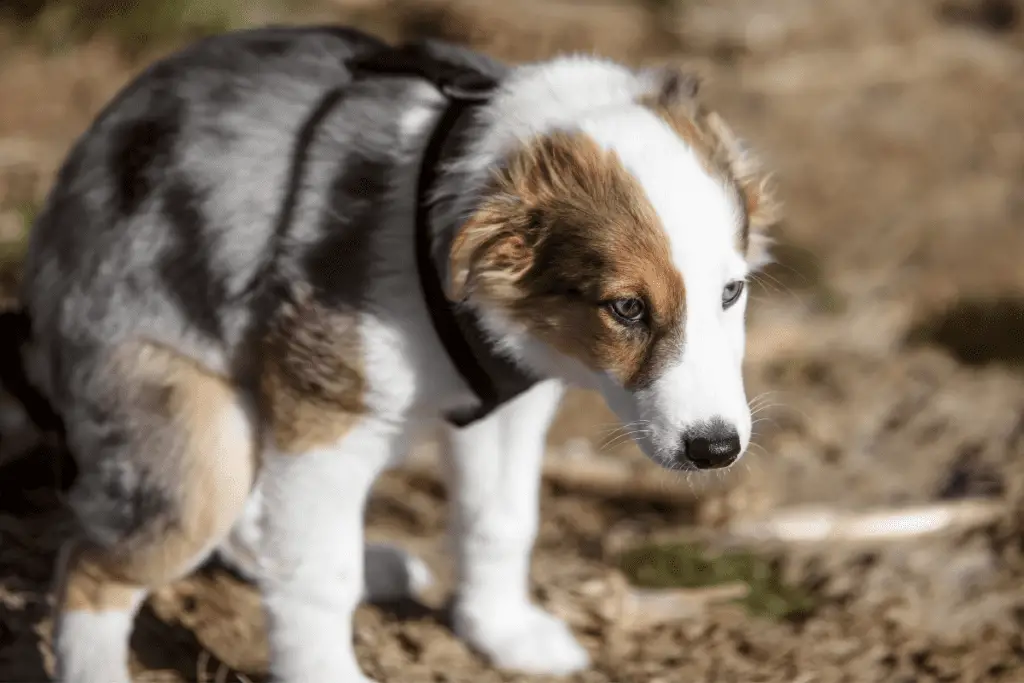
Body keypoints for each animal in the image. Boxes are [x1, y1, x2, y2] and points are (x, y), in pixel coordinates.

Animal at [9, 24, 774, 683]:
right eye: (626, 308)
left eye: (732, 292)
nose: (715, 450)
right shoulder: (325, 411)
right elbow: (319, 573)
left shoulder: (510, 406)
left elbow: (500, 520)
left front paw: (502, 632)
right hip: (195, 435)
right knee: (92, 565)